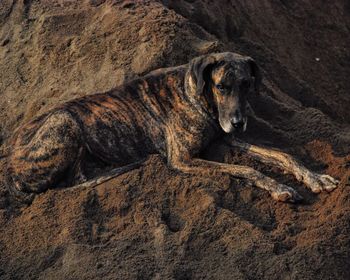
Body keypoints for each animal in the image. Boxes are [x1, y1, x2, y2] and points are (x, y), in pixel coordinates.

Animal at [6, 52, 340, 203]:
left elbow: (283, 154)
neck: (197, 95)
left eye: (246, 84)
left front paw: (315, 178)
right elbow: (245, 169)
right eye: (222, 86)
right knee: (75, 180)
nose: (238, 123)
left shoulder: (226, 139)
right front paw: (280, 187)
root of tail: (9, 167)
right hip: (65, 119)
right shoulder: (182, 159)